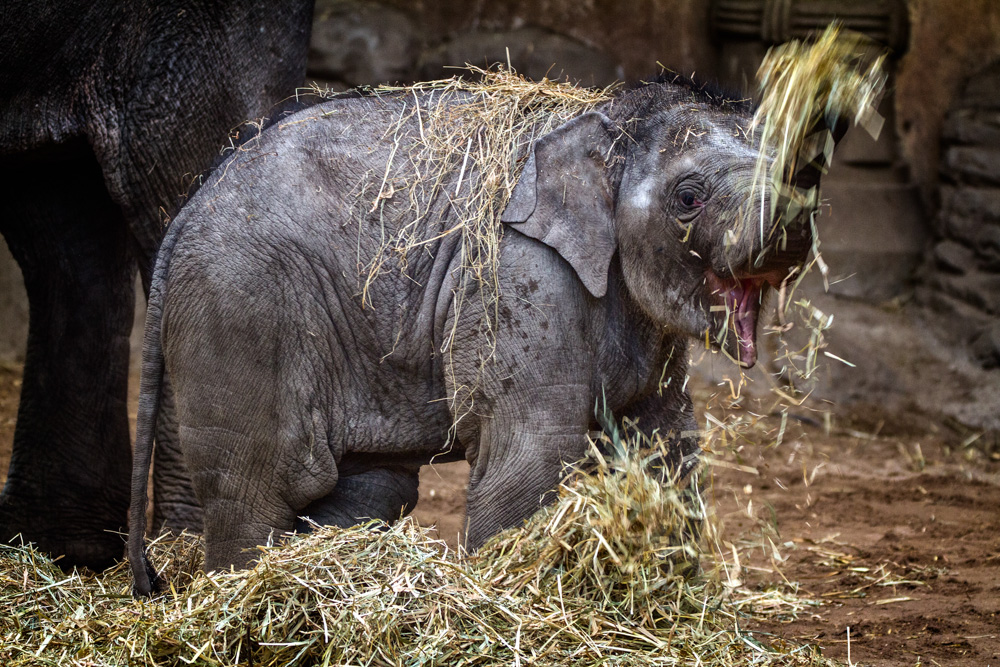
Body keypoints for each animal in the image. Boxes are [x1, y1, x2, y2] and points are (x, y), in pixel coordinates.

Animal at [127, 74, 828, 596]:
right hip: (242, 308)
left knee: (371, 487)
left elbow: (668, 444)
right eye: (689, 196)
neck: (602, 119)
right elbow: (532, 455)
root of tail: (185, 212)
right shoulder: (521, 277)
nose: (798, 216)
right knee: (261, 490)